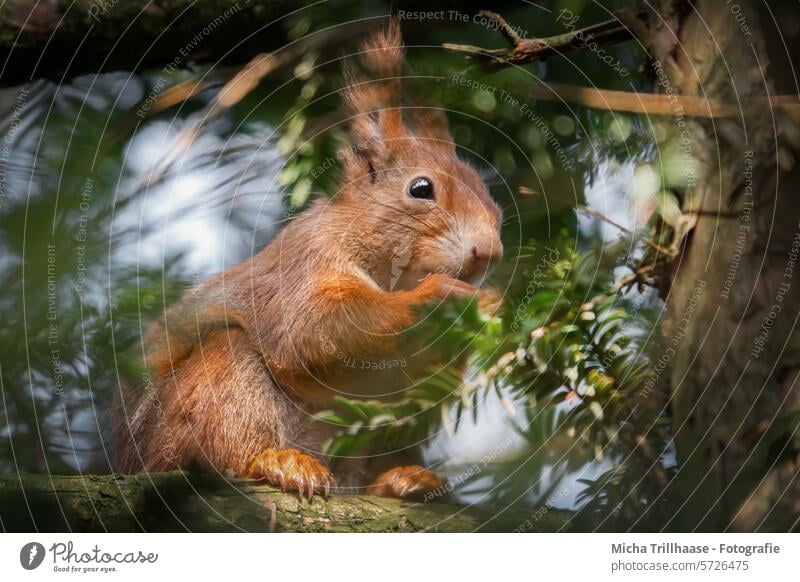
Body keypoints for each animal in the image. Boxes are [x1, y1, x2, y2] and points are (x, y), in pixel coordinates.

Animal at [114, 19, 500, 502]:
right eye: (421, 188)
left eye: (491, 199)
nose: (488, 252)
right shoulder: (304, 264)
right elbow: (315, 327)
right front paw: (440, 298)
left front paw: (486, 309)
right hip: (205, 403)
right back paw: (277, 461)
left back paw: (404, 480)